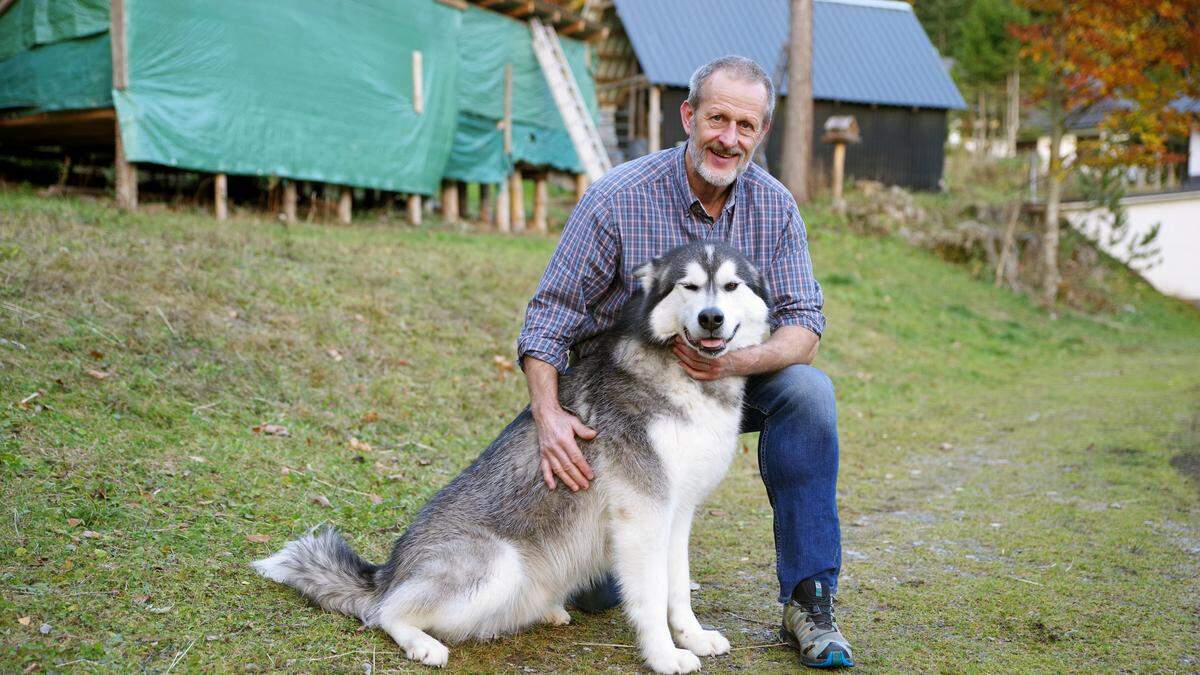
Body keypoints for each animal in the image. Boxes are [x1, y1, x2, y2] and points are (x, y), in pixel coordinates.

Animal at [256, 239, 772, 667]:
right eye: (689, 286)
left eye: (731, 286)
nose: (711, 317)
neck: (685, 381)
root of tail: (387, 572)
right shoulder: (642, 515)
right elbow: (650, 595)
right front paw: (664, 656)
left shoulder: (677, 512)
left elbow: (678, 589)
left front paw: (694, 637)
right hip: (497, 564)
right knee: (385, 612)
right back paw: (422, 643)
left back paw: (546, 611)